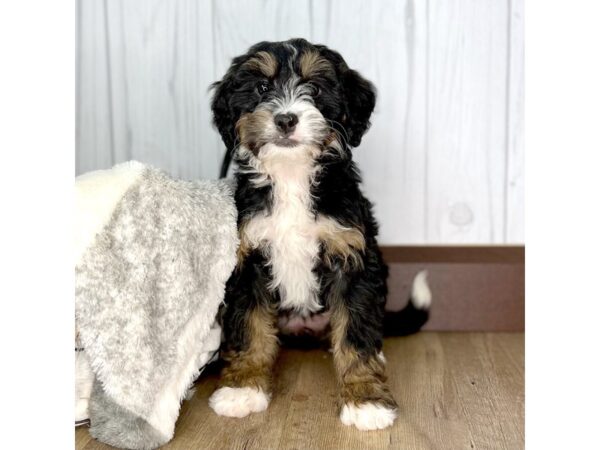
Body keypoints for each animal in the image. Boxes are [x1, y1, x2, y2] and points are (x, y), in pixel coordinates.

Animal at [207, 37, 432, 428]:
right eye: (262, 87)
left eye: (313, 88)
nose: (285, 118)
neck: (291, 175)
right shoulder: (247, 261)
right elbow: (249, 328)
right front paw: (242, 388)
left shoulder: (352, 257)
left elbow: (355, 335)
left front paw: (365, 400)